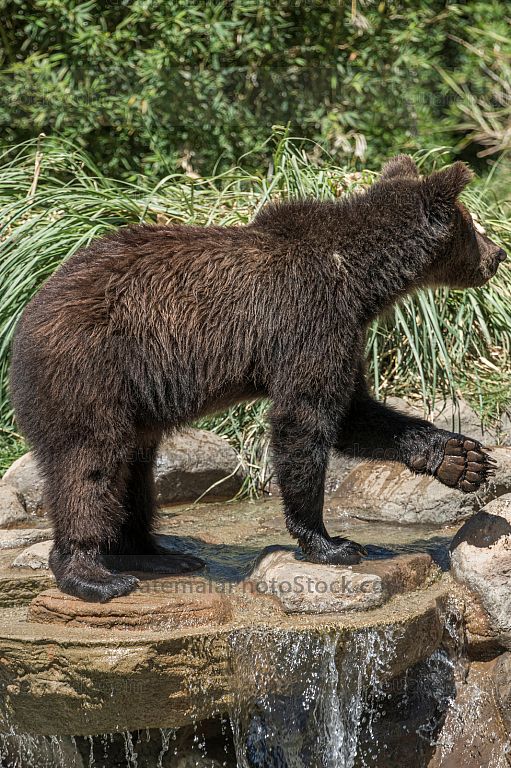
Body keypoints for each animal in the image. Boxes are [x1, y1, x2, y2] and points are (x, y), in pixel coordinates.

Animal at [9, 155, 507, 602]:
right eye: (473, 224)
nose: (498, 254)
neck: (360, 278)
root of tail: (25, 317)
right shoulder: (310, 319)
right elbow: (305, 419)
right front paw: (331, 543)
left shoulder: (343, 333)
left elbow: (354, 413)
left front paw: (461, 458)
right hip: (91, 370)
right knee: (89, 464)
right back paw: (92, 574)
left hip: (131, 399)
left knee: (134, 470)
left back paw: (158, 554)